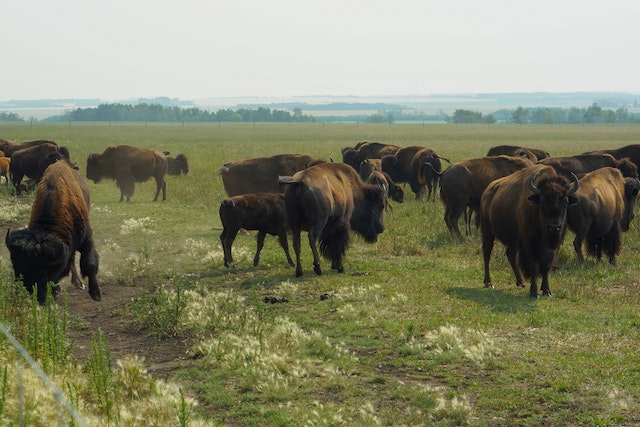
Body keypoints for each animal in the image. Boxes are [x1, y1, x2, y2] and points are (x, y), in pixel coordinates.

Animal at [6, 160, 101, 304]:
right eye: (15, 266)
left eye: (46, 270)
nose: (34, 296)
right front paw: (57, 290)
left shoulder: (87, 239)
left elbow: (90, 263)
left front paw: (96, 294)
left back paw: (79, 284)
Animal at [480, 165, 579, 298]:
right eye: (542, 202)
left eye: (565, 202)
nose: (554, 227)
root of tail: (487, 191)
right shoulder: (528, 242)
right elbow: (534, 266)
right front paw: (534, 292)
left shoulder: (554, 245)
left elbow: (546, 265)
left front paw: (547, 290)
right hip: (488, 232)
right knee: (487, 253)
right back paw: (489, 283)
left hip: (513, 240)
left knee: (510, 254)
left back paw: (521, 282)